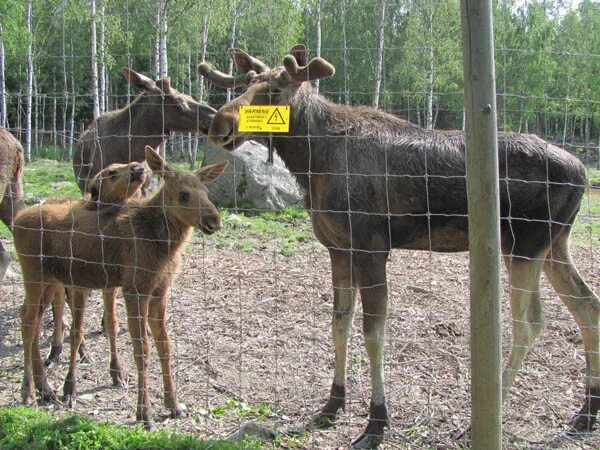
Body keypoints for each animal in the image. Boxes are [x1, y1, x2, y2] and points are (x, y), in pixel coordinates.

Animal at [16, 148, 229, 428]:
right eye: (184, 194)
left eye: (206, 192)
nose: (214, 221)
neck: (164, 244)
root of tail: (16, 219)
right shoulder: (134, 289)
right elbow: (142, 350)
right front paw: (144, 413)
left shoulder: (159, 292)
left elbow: (165, 346)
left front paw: (174, 405)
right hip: (34, 274)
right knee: (28, 321)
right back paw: (28, 392)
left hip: (51, 280)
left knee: (33, 317)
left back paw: (46, 388)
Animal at [202, 44, 600, 446]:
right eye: (245, 85)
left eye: (275, 90)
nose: (218, 124)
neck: (312, 163)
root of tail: (583, 172)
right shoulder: (338, 248)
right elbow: (339, 323)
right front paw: (331, 405)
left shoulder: (372, 246)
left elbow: (373, 333)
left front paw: (376, 423)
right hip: (554, 244)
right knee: (588, 307)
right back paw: (586, 412)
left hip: (524, 244)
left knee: (530, 322)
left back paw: (483, 421)